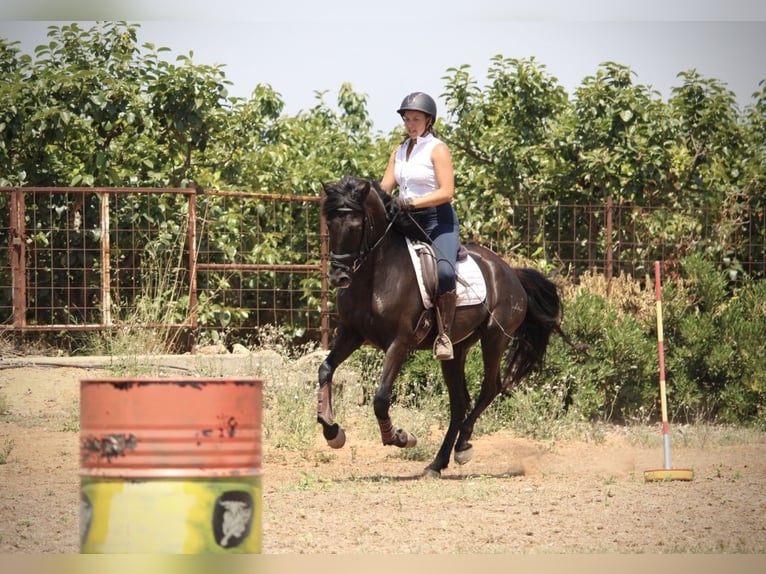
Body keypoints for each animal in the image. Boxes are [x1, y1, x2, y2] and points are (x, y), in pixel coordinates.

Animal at [317, 175, 569, 478]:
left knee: (490, 388)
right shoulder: (352, 333)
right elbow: (325, 369)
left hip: (495, 339)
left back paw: (462, 446)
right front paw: (332, 431)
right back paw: (437, 463)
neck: (376, 275)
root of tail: (511, 272)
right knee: (459, 402)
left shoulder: (399, 342)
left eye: (356, 226)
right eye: (330, 224)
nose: (339, 276)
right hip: (456, 350)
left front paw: (401, 437)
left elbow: (380, 398)